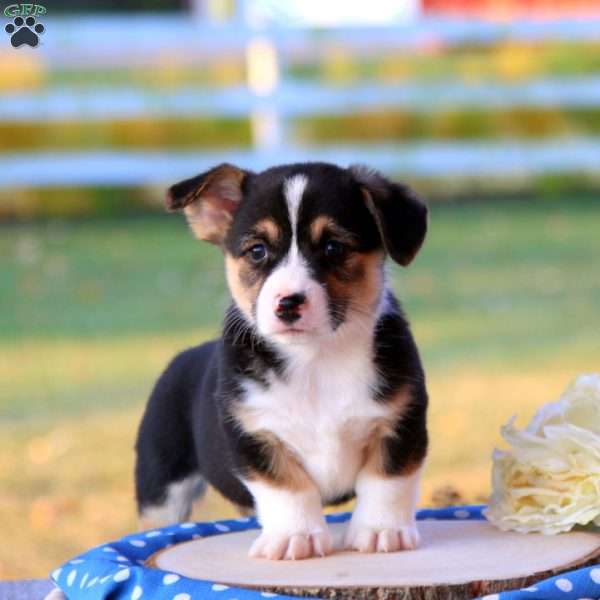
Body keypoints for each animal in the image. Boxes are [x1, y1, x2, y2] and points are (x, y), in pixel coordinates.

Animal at [134, 162, 428, 560]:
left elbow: (386, 481)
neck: (316, 360)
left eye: (333, 247)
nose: (288, 303)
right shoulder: (254, 435)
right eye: (257, 251)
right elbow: (288, 488)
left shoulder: (400, 423)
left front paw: (382, 531)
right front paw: (296, 536)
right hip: (161, 488)